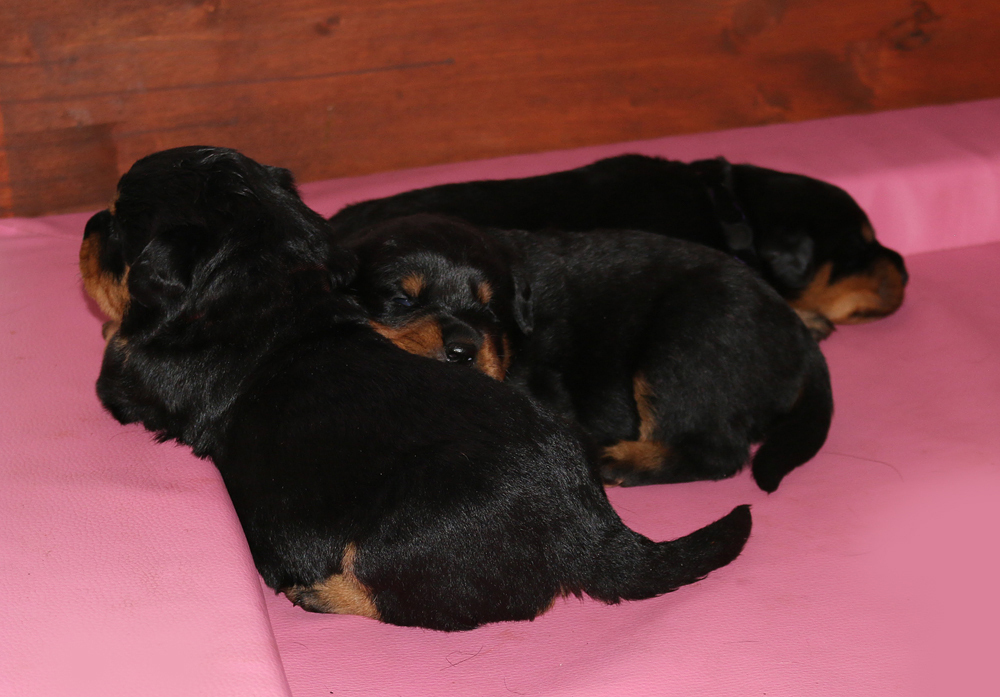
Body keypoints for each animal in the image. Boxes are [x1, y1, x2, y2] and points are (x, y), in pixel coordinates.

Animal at [79, 146, 752, 632]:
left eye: (116, 223)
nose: (88, 222)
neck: (273, 282)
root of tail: (592, 530)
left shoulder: (129, 376)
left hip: (403, 544)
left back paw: (314, 590)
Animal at [343, 214, 833, 492]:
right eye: (402, 300)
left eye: (491, 309)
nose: (464, 350)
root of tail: (797, 334)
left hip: (688, 345)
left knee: (716, 450)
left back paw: (621, 460)